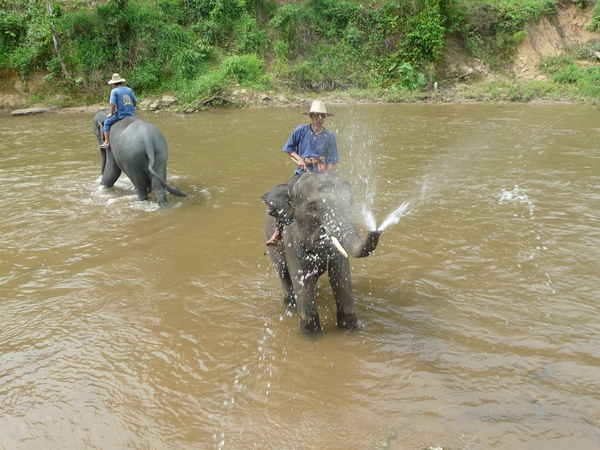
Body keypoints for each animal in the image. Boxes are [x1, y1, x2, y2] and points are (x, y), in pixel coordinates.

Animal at [262, 172, 382, 334]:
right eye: (313, 207)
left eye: (350, 202)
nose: (376, 230)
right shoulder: (291, 239)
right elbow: (301, 280)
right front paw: (311, 334)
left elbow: (340, 276)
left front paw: (349, 327)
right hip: (271, 241)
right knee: (284, 274)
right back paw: (291, 307)